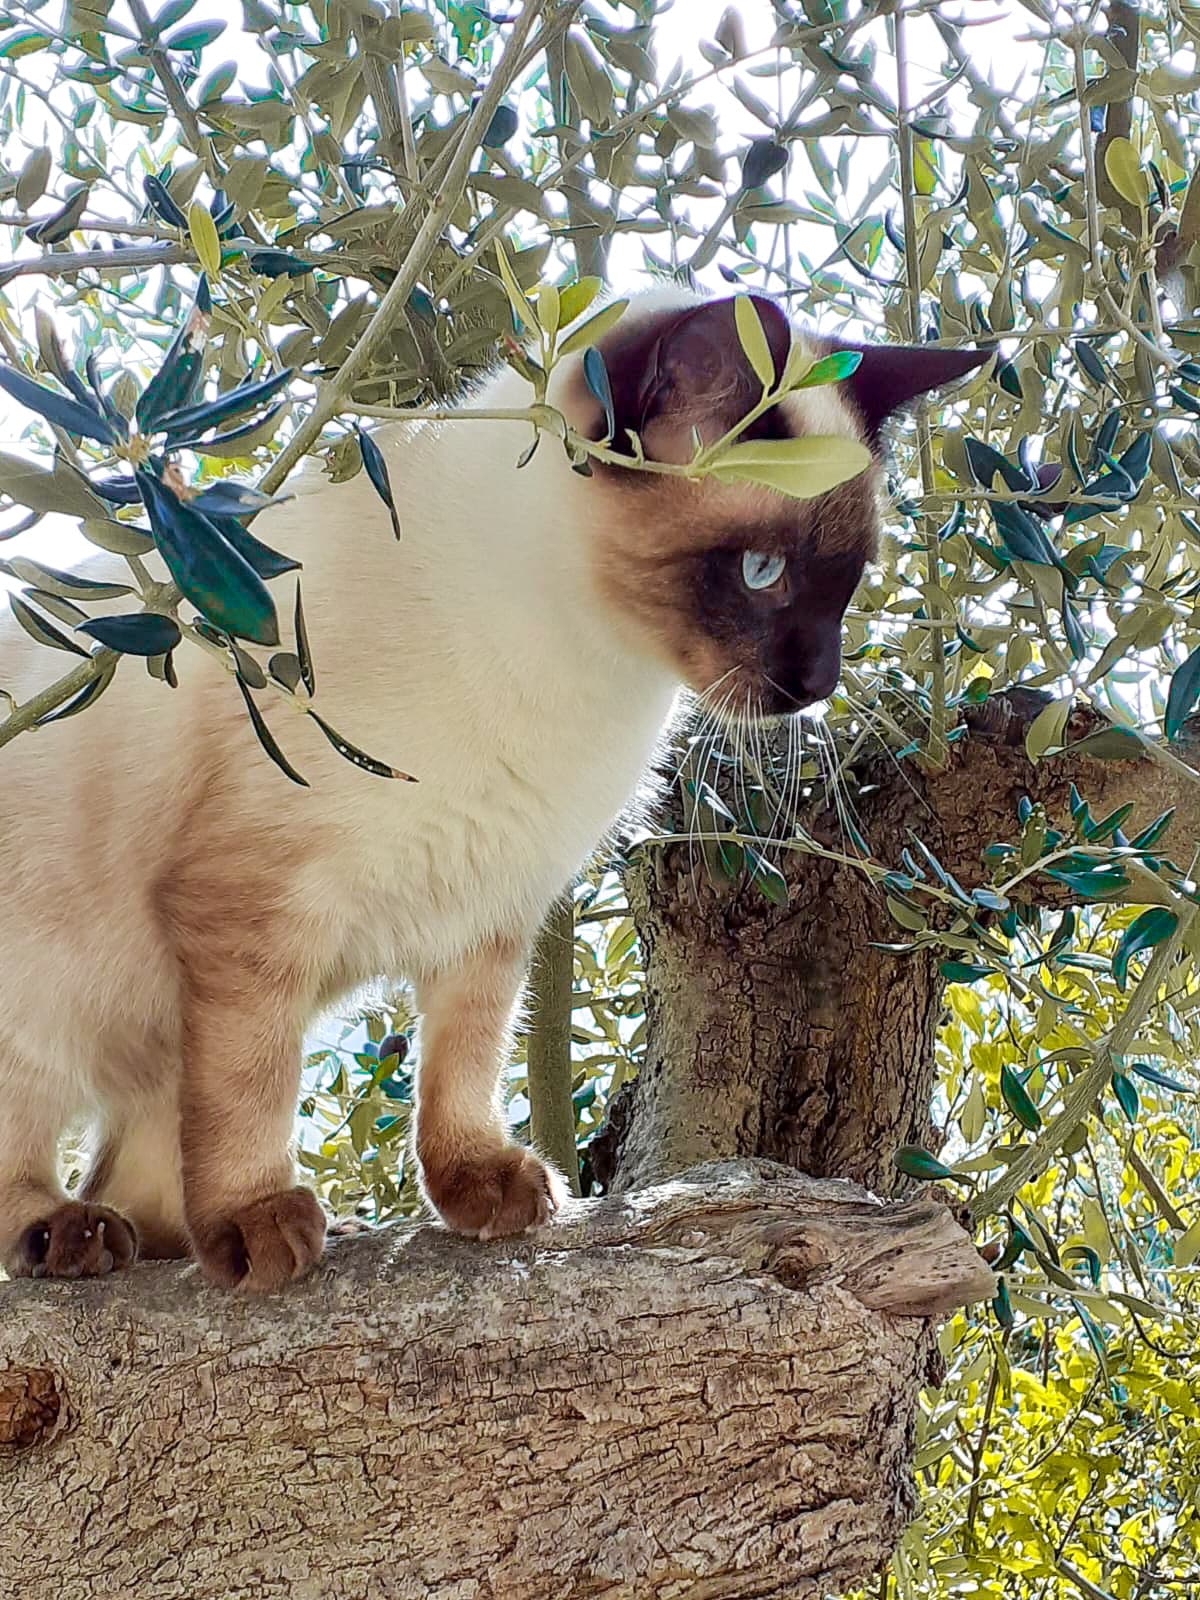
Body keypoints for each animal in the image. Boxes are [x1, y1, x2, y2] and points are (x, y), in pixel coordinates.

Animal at [0, 284, 985, 1286]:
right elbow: (251, 1086)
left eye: (847, 584)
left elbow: (465, 1062)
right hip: (41, 1006)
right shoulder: (257, 908)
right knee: (44, 1157)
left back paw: (154, 1239)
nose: (819, 681)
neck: (586, 663)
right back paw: (73, 1235)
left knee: (138, 1172)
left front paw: (479, 1188)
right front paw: (256, 1222)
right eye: (762, 572)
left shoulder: (489, 902)